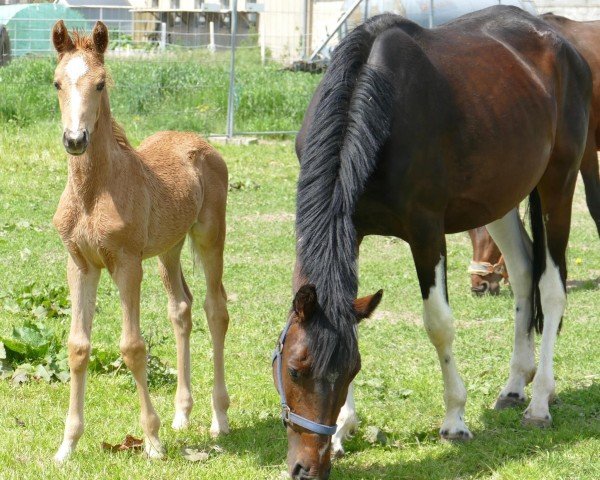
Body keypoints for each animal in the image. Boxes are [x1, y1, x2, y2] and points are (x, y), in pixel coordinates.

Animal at [49, 19, 230, 462]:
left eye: (100, 84)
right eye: (58, 82)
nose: (75, 139)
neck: (93, 192)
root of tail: (200, 142)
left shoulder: (127, 263)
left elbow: (132, 347)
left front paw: (152, 441)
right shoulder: (80, 264)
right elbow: (77, 347)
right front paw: (67, 445)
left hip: (209, 236)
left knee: (215, 308)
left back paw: (219, 419)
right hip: (168, 249)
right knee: (181, 308)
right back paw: (183, 414)